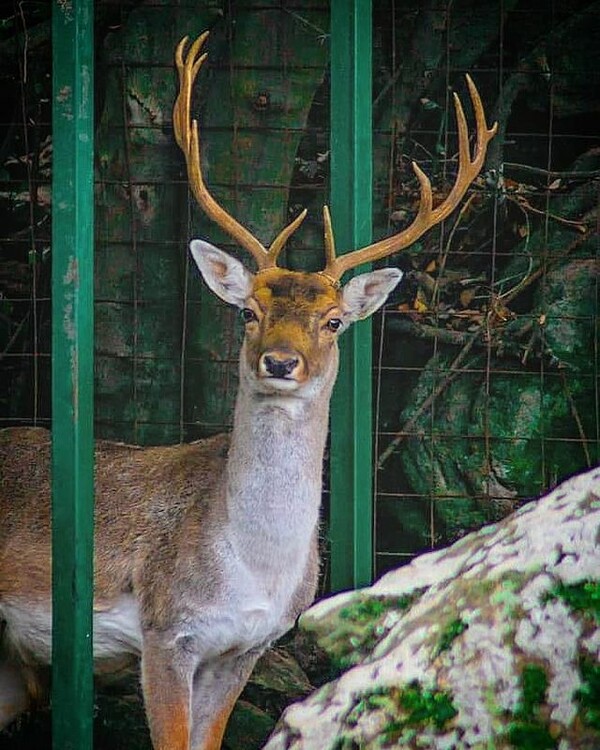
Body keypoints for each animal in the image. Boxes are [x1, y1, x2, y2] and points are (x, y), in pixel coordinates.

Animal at [0, 32, 496, 750]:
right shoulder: (165, 630)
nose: (280, 362)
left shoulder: (247, 648)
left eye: (334, 321)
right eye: (248, 312)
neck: (252, 569)